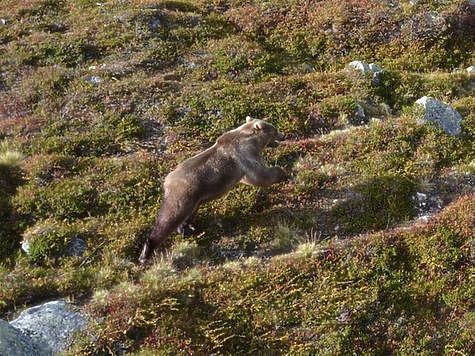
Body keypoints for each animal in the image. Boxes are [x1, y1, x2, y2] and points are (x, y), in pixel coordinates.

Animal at [138, 115, 286, 262]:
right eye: (274, 129)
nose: (283, 135)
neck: (252, 140)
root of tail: (167, 181)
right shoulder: (244, 155)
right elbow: (259, 175)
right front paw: (282, 172)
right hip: (183, 195)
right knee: (169, 217)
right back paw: (146, 252)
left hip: (194, 200)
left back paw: (186, 228)